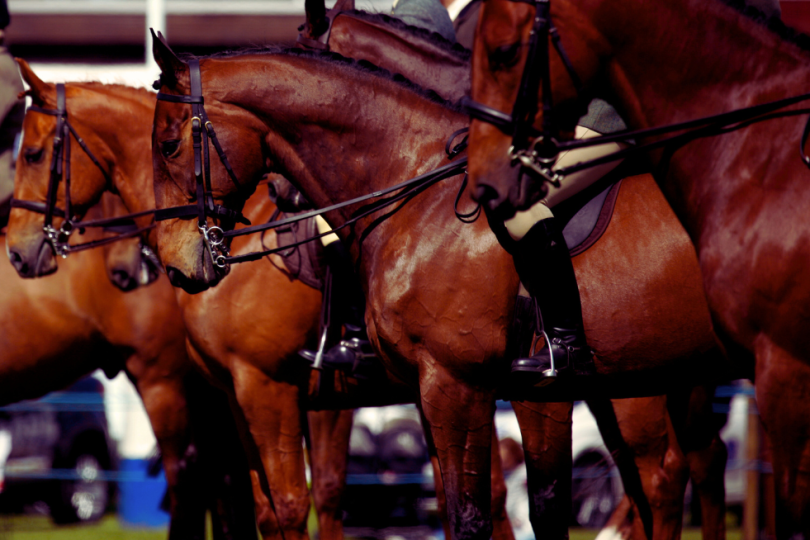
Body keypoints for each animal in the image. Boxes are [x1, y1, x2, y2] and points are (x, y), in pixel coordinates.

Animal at [148, 35, 739, 540]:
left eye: (170, 144)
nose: (175, 262)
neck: (417, 193)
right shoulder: (514, 392)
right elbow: (538, 508)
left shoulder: (445, 387)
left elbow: (463, 516)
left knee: (663, 477)